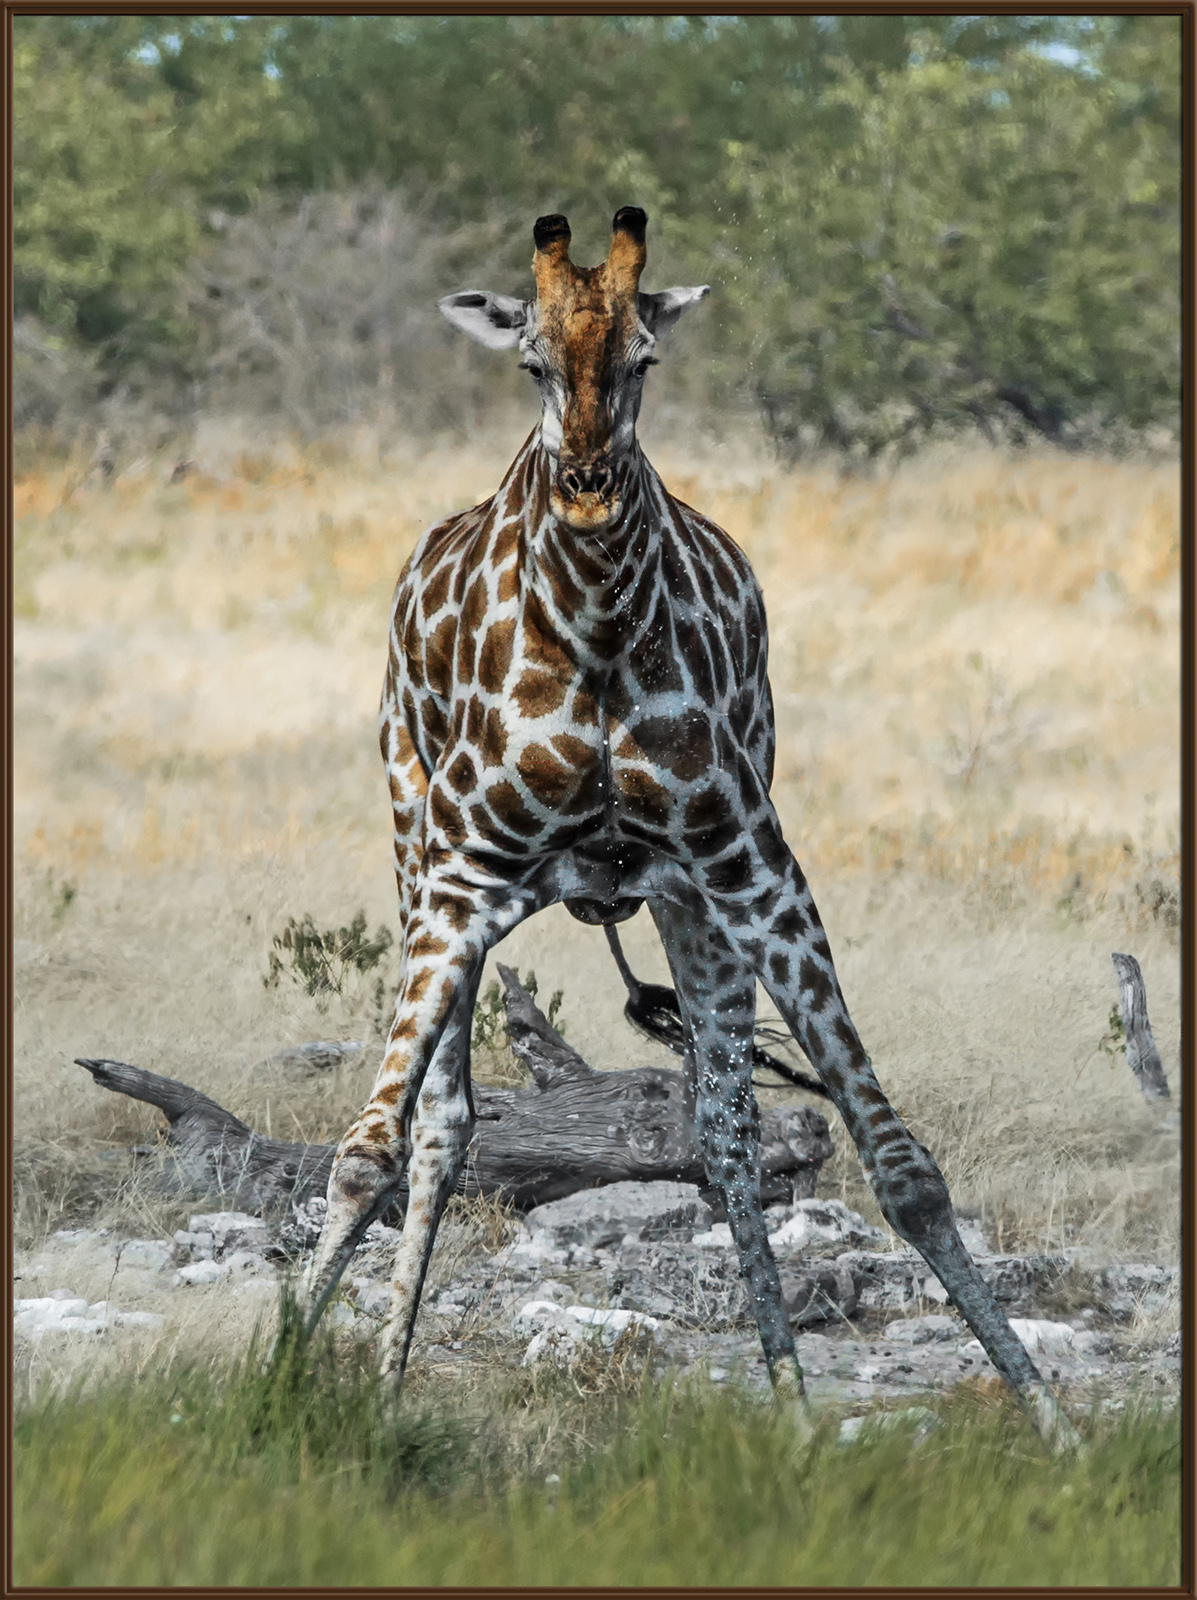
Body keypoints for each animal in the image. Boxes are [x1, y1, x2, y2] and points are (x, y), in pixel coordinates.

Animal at [304, 207, 1077, 1447]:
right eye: (529, 362)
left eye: (645, 360)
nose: (585, 489)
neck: (599, 631)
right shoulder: (463, 879)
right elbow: (367, 1150)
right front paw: (273, 1370)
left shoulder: (756, 869)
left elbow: (900, 1163)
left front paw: (1051, 1422)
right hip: (413, 848)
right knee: (442, 1126)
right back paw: (382, 1382)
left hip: (687, 905)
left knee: (723, 1127)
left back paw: (794, 1406)